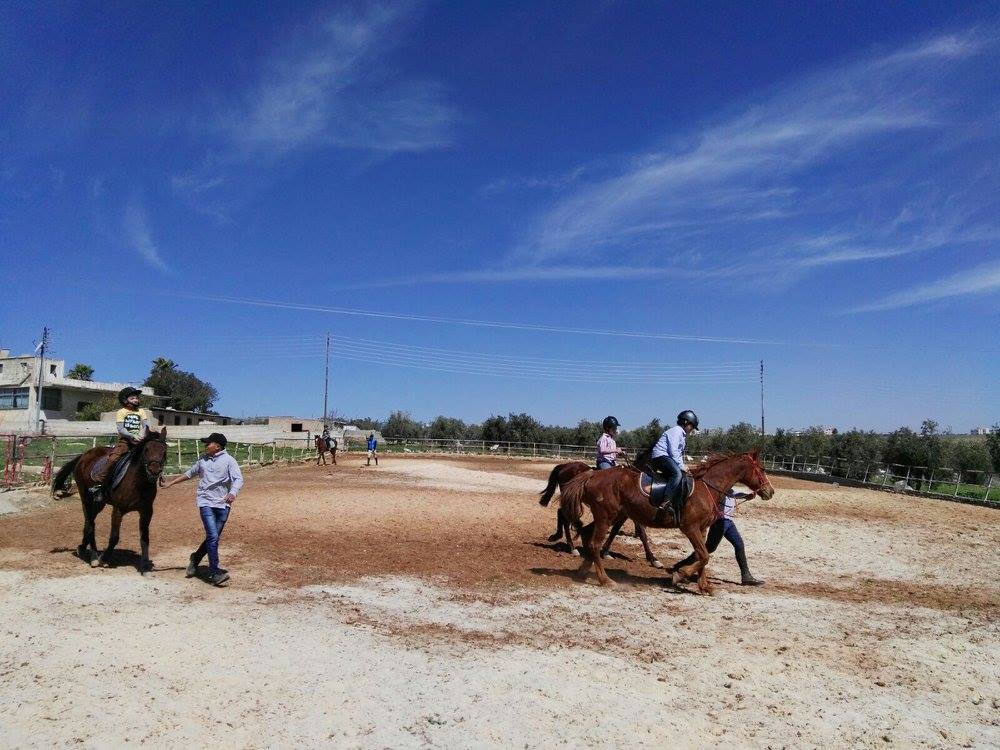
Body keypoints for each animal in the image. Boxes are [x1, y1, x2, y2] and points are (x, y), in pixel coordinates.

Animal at [51, 428, 169, 573]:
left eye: (164, 450)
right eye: (146, 449)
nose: (154, 471)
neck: (138, 482)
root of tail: (84, 455)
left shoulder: (146, 511)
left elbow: (145, 538)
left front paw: (145, 564)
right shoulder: (118, 510)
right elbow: (114, 537)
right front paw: (105, 559)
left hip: (98, 503)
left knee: (89, 523)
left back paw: (83, 548)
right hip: (87, 500)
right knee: (90, 525)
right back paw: (94, 557)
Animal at [559, 450, 774, 594]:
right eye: (762, 469)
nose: (770, 492)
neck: (707, 488)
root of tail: (592, 475)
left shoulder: (702, 529)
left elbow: (702, 555)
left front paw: (704, 585)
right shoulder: (690, 528)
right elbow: (704, 556)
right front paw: (680, 575)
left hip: (606, 517)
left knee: (588, 536)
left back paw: (583, 571)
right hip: (606, 517)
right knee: (594, 543)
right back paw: (605, 580)